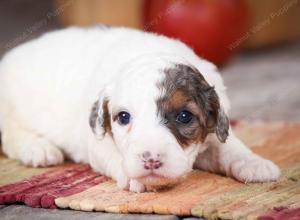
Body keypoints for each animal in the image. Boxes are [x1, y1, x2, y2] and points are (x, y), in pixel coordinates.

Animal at [0, 26, 280, 192]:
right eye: (123, 117)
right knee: (10, 136)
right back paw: (38, 148)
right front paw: (135, 178)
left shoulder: (214, 131)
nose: (151, 159)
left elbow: (229, 147)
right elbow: (113, 155)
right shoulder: (97, 141)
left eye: (184, 116)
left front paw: (255, 163)